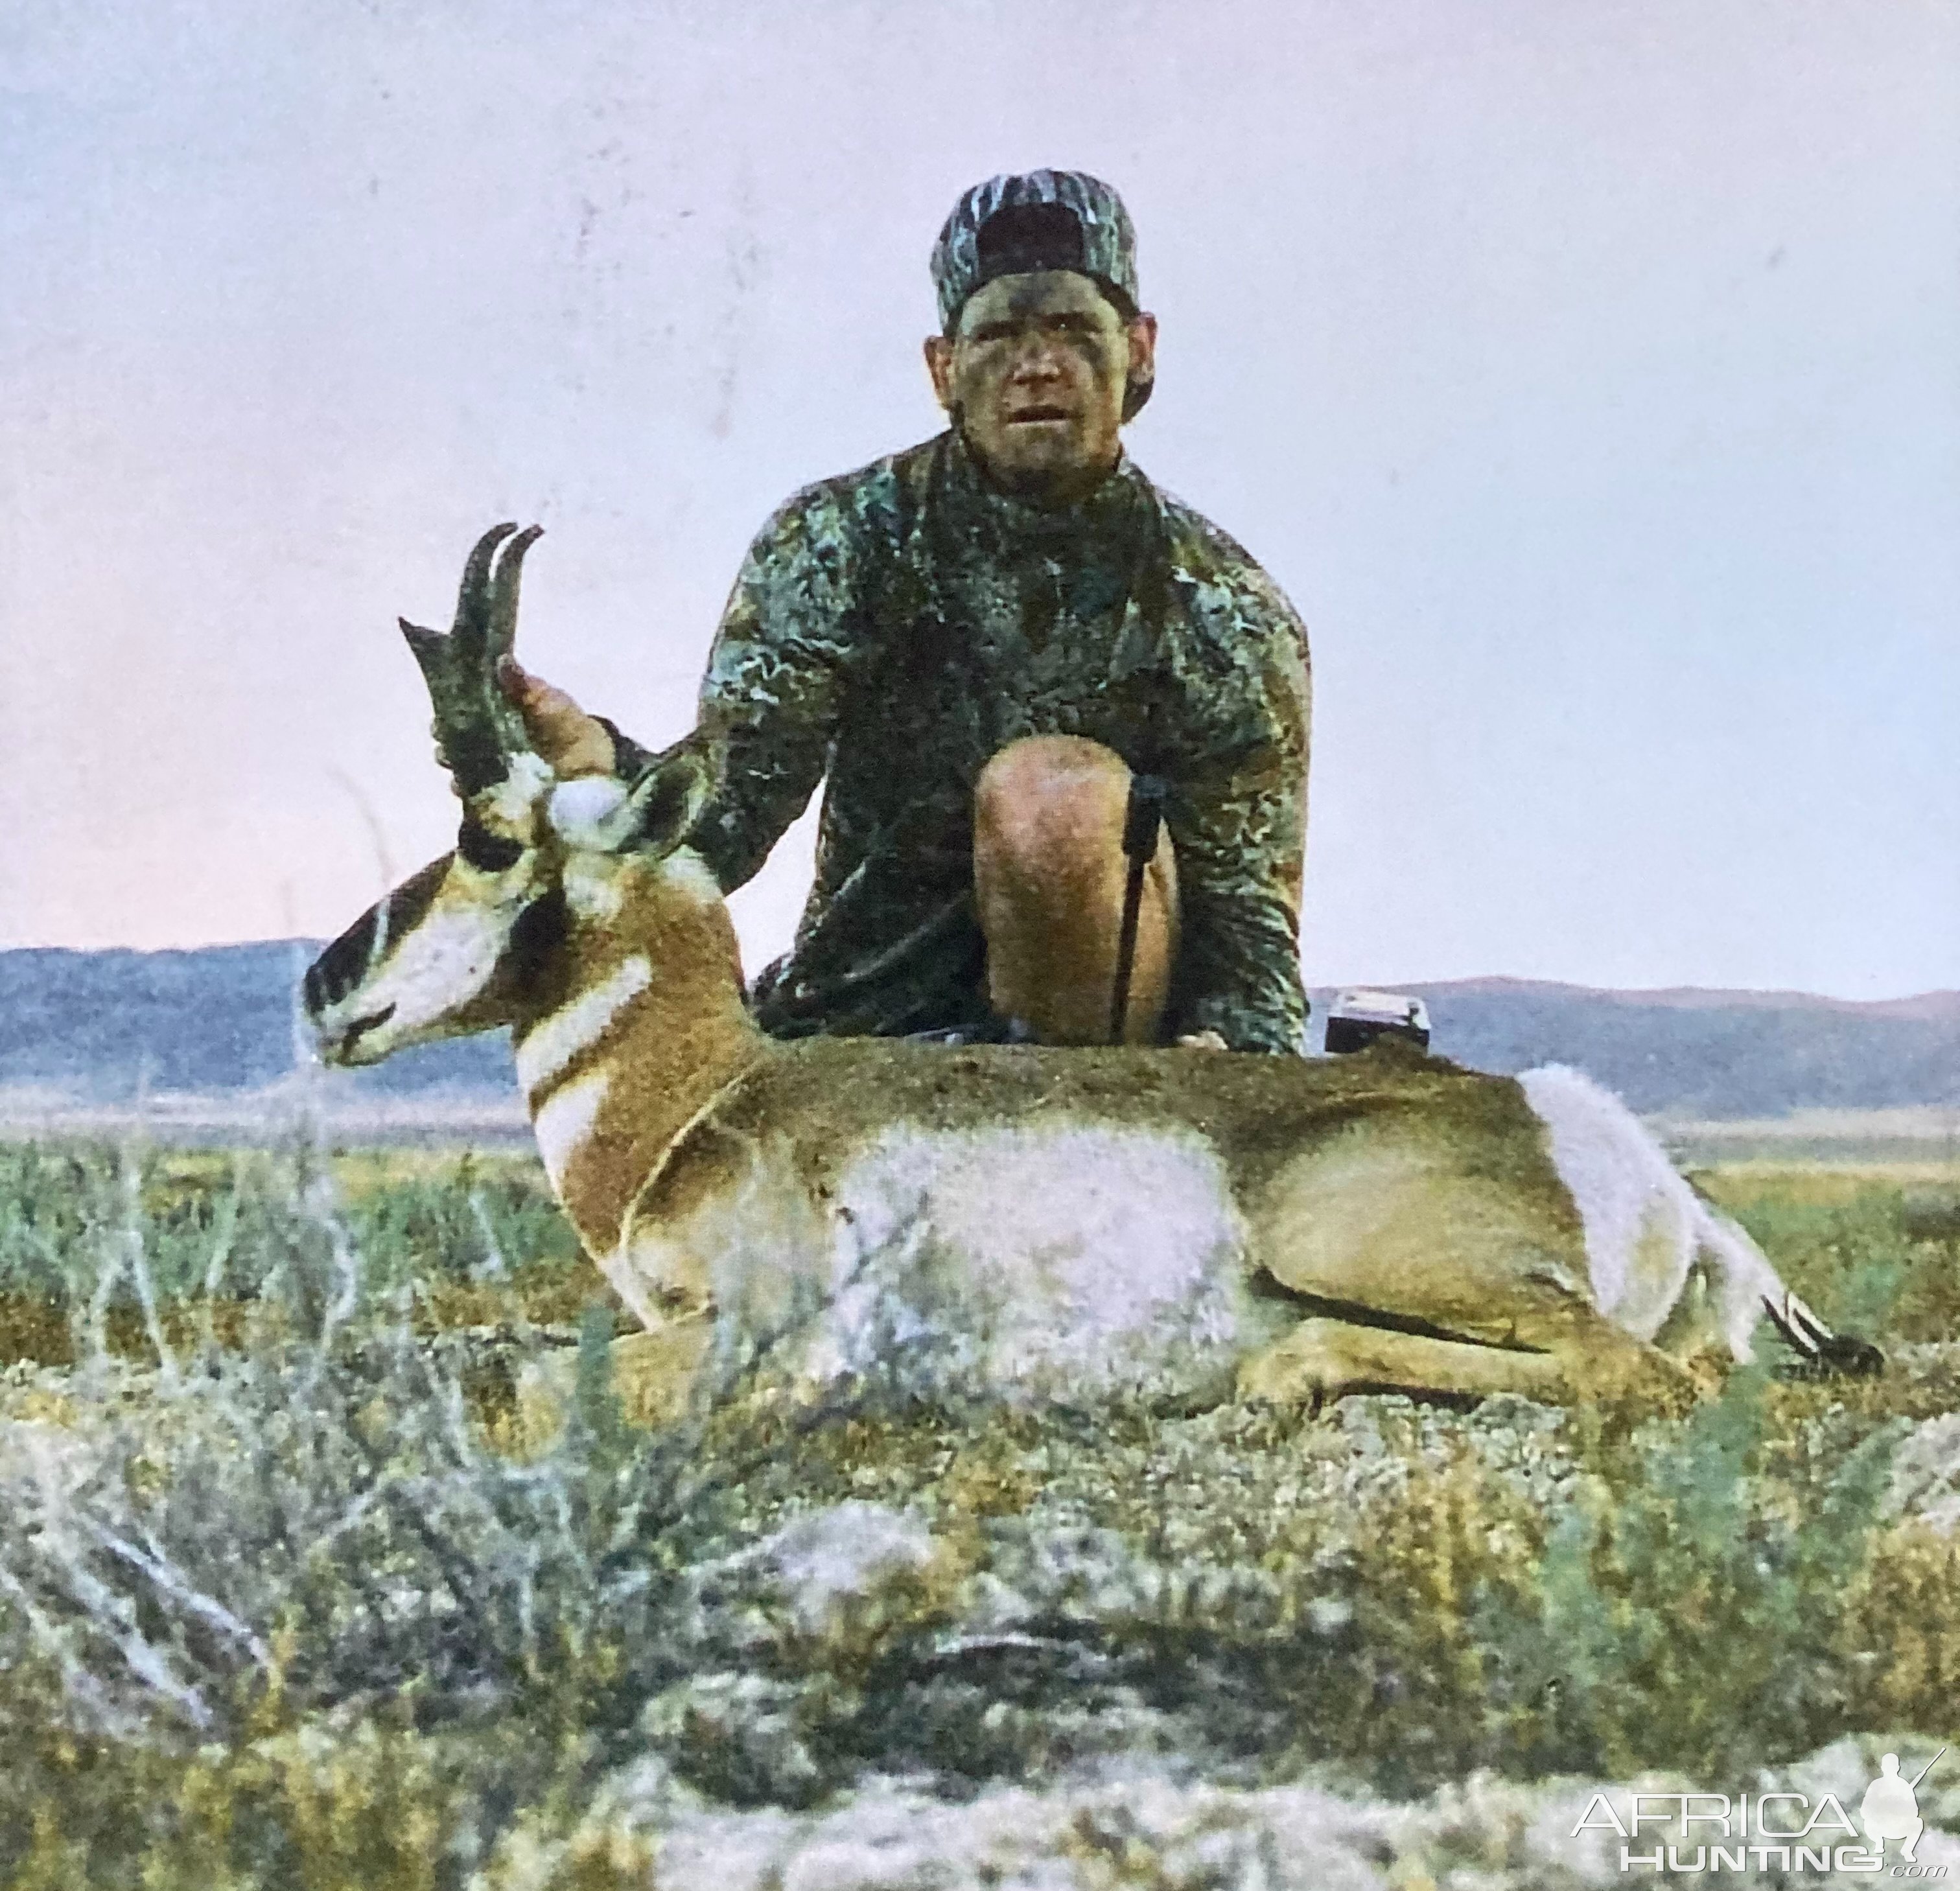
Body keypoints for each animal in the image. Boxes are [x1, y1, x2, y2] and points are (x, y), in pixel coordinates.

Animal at [305, 525, 1882, 1411]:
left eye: (484, 834)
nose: (321, 994)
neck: (712, 1101)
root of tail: (1599, 1135)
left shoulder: (751, 1328)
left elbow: (532, 1382)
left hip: (1355, 1241)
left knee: (1635, 1373)